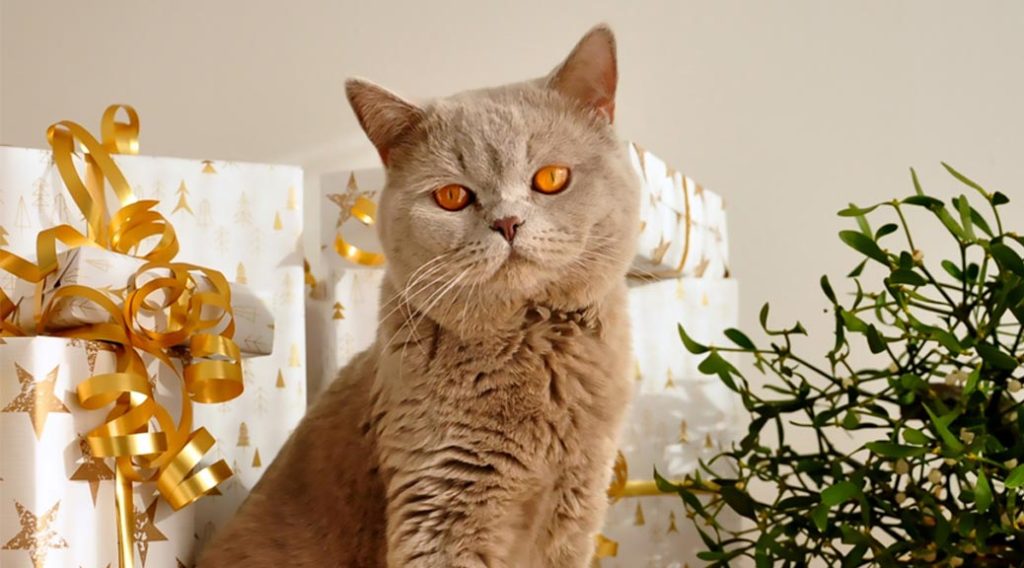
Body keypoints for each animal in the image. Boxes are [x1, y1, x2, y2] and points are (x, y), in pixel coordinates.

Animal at [199, 24, 638, 564]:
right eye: (452, 196)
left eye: (551, 178)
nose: (508, 222)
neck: (530, 346)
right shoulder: (441, 501)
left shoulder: (576, 508)